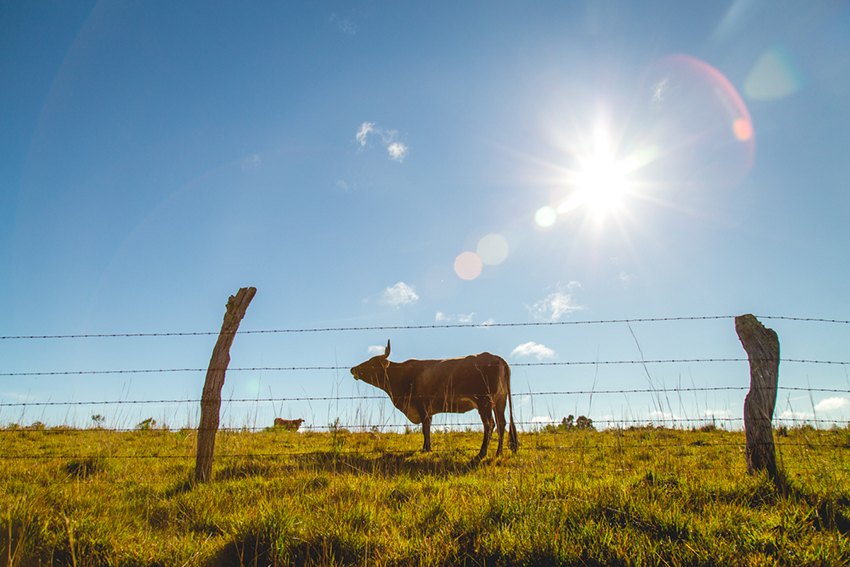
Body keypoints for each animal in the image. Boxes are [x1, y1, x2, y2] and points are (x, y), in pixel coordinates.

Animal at [346, 342, 516, 462]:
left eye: (371, 362)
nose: (353, 369)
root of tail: (496, 357)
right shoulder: (428, 409)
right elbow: (426, 428)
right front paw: (425, 448)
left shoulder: (422, 406)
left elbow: (425, 428)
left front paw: (427, 449)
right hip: (499, 401)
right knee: (501, 424)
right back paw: (498, 452)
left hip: (484, 402)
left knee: (490, 425)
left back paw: (481, 453)